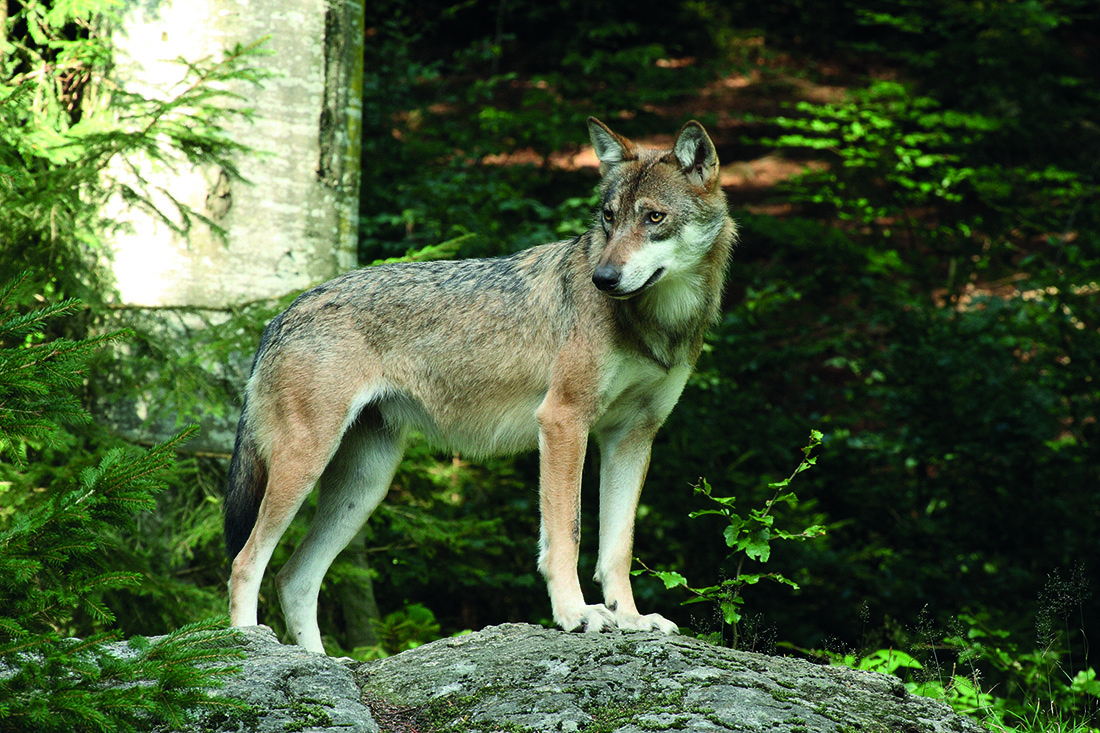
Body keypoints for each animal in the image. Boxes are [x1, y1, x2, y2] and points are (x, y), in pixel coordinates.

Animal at [225, 115, 739, 651]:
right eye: (608, 219)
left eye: (654, 218)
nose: (603, 278)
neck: (658, 321)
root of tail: (281, 315)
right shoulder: (563, 421)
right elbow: (567, 535)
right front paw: (576, 615)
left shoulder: (632, 437)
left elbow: (616, 549)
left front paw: (633, 620)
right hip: (306, 465)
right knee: (245, 562)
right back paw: (247, 648)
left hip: (364, 485)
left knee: (294, 577)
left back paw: (324, 661)